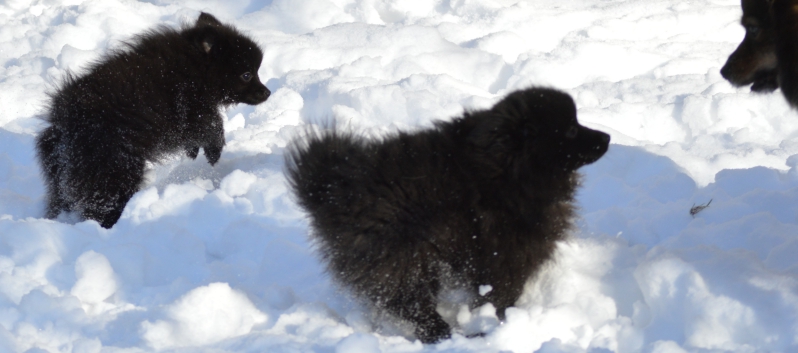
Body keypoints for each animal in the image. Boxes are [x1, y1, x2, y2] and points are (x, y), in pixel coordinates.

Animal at [36, 11, 272, 228]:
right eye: (247, 75)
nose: (267, 92)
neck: (196, 65)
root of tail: (64, 125)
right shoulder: (191, 107)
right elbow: (212, 126)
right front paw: (213, 153)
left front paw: (194, 151)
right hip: (115, 170)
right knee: (101, 205)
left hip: (64, 176)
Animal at [288, 86, 612, 342]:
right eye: (571, 129)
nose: (607, 137)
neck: (506, 168)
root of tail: (334, 192)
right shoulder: (508, 254)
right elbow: (501, 294)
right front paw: (501, 323)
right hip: (403, 257)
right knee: (415, 305)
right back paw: (447, 335)